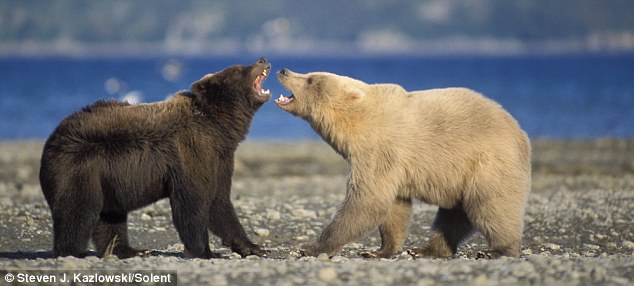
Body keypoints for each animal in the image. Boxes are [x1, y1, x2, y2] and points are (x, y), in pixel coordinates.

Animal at [39, 58, 272, 260]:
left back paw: (130, 250)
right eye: (237, 69)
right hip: (79, 168)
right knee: (76, 211)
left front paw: (253, 247)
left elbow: (220, 201)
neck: (219, 128)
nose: (262, 59)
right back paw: (75, 251)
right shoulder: (191, 151)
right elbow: (193, 202)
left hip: (106, 181)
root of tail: (53, 136)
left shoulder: (219, 158)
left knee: (110, 217)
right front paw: (205, 251)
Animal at [274, 68, 532, 258]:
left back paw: (498, 250)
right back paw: (427, 249)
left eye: (311, 79)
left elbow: (367, 201)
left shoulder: (381, 151)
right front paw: (379, 250)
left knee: (492, 206)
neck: (358, 126)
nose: (284, 70)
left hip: (488, 163)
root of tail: (520, 132)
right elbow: (394, 208)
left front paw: (311, 246)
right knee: (453, 215)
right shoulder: (392, 165)